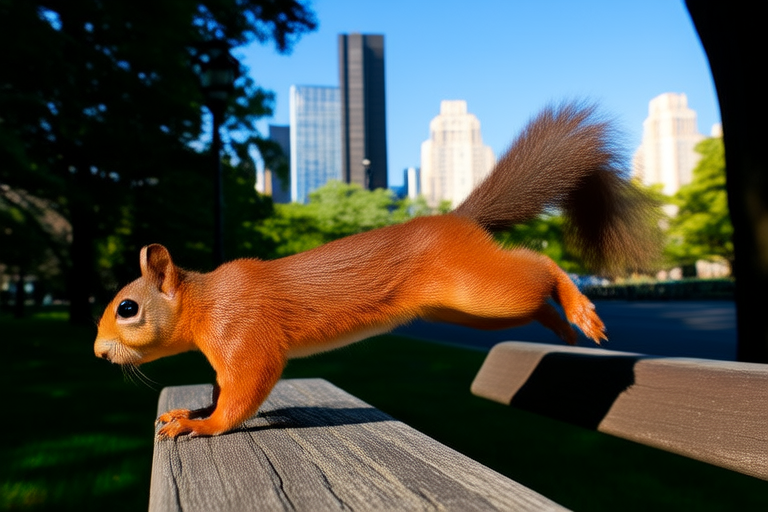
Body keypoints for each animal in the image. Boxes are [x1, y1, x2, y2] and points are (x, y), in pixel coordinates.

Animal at [94, 103, 657, 437]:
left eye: (128, 307)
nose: (98, 353)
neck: (206, 299)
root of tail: (458, 221)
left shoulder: (245, 334)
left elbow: (243, 392)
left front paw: (203, 427)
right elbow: (218, 390)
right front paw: (189, 412)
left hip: (482, 290)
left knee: (539, 267)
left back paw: (579, 308)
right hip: (470, 312)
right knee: (530, 303)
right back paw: (560, 327)